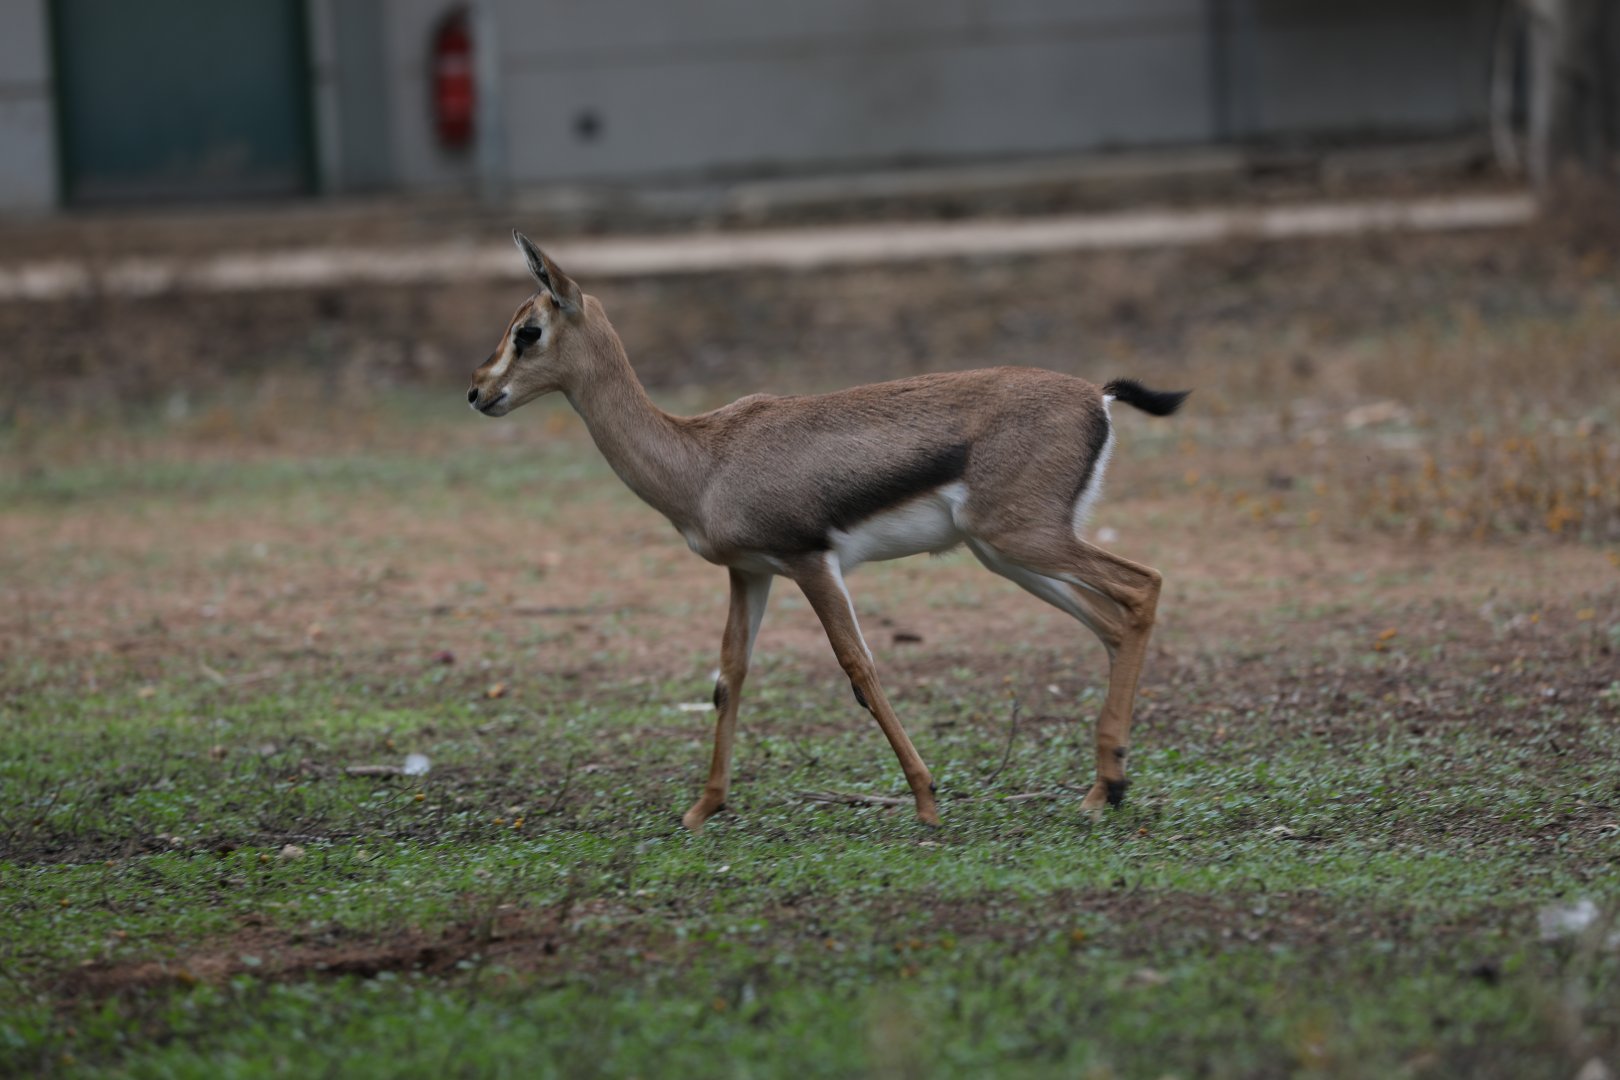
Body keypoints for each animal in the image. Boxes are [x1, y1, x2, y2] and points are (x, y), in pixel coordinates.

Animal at [468, 232, 1188, 832]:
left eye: (528, 331)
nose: (478, 392)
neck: (705, 459)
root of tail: (1096, 396)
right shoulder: (749, 572)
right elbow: (730, 674)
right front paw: (703, 808)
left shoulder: (811, 562)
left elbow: (858, 667)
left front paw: (926, 801)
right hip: (1005, 556)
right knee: (1111, 623)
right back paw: (1103, 789)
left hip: (1024, 540)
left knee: (1144, 585)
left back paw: (1104, 790)